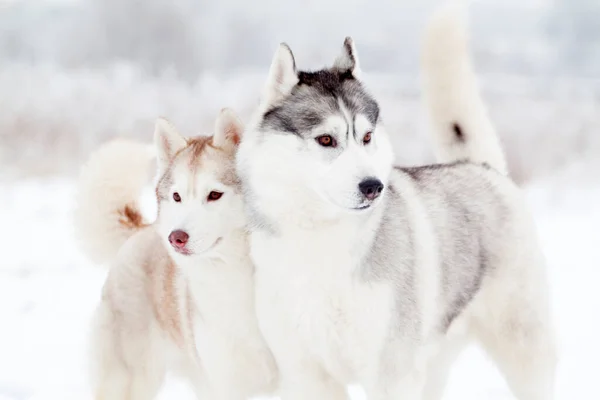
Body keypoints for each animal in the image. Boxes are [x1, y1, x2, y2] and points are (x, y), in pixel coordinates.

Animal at [237, 5, 556, 400]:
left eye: (366, 136)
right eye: (326, 139)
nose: (373, 186)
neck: (321, 244)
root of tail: (480, 167)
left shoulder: (391, 372)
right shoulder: (307, 374)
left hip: (522, 347)